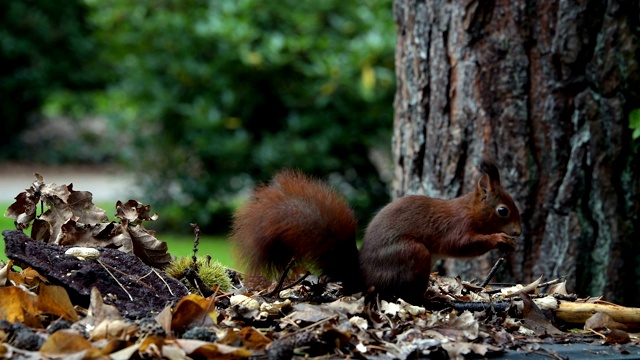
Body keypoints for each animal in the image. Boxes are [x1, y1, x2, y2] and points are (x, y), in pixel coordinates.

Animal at [230, 162, 520, 300]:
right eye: (503, 210)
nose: (518, 232)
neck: (470, 210)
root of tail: (361, 274)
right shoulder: (456, 227)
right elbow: (463, 245)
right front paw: (499, 239)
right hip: (413, 253)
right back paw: (429, 296)